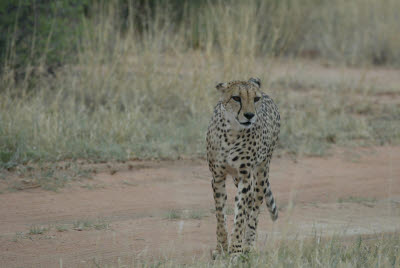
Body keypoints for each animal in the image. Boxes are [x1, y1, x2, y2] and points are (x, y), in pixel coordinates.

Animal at [208, 77, 280, 258]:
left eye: (255, 99)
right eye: (236, 98)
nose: (249, 115)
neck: (232, 132)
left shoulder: (245, 176)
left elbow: (240, 214)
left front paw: (235, 250)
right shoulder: (217, 177)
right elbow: (220, 215)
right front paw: (221, 248)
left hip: (262, 172)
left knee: (254, 206)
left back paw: (248, 244)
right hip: (236, 178)